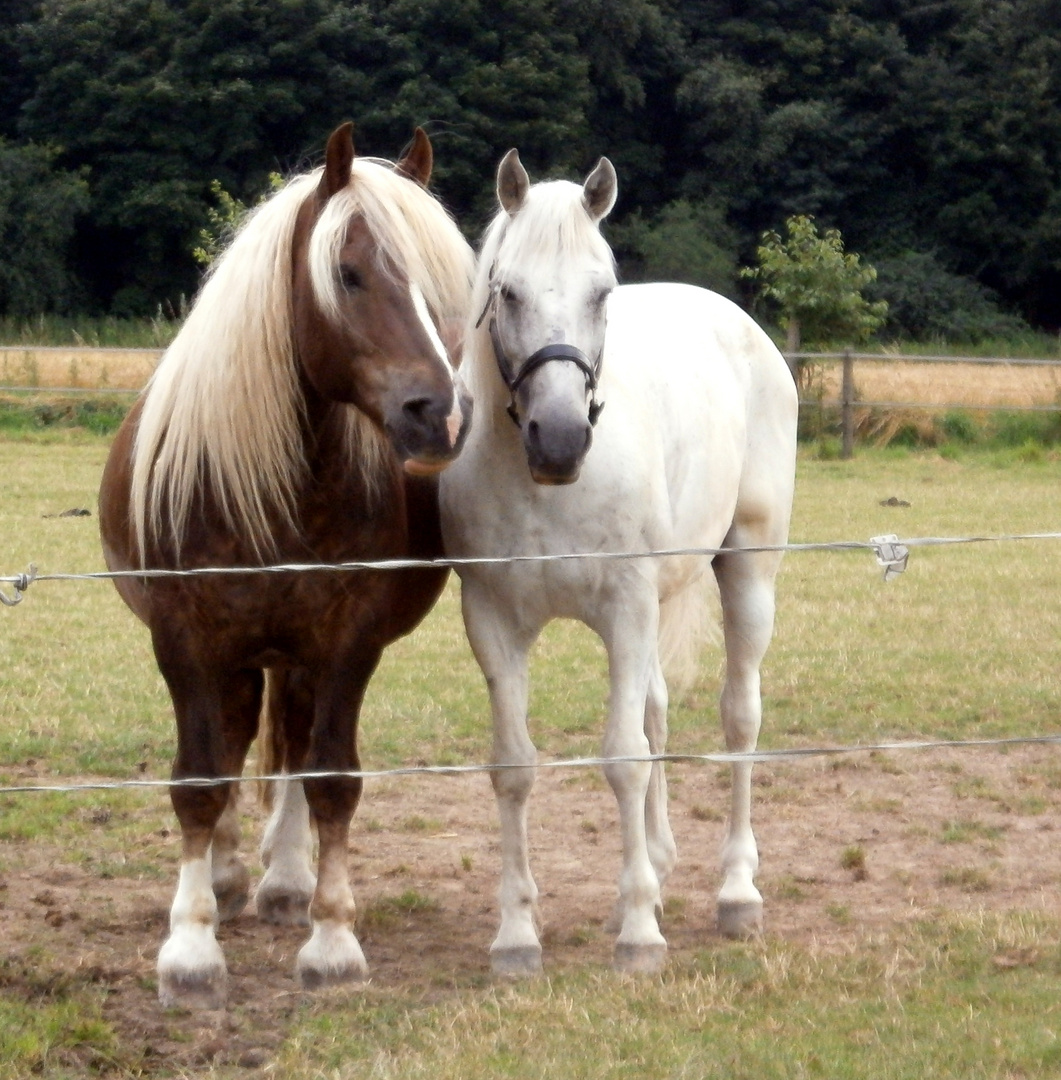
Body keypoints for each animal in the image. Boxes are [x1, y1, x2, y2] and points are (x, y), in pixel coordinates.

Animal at [98, 126, 473, 1010]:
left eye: (444, 288)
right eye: (348, 273)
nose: (437, 414)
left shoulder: (344, 642)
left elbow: (331, 776)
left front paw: (331, 941)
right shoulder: (187, 639)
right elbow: (200, 779)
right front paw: (190, 951)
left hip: (291, 654)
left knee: (293, 745)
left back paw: (285, 883)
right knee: (235, 742)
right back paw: (227, 879)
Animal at [440, 147, 795, 976]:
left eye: (601, 292)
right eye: (506, 291)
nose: (560, 438)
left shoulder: (625, 609)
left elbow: (623, 758)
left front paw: (639, 937)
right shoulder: (493, 621)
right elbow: (514, 766)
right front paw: (517, 936)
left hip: (747, 569)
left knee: (738, 717)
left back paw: (736, 894)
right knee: (659, 710)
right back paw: (657, 871)